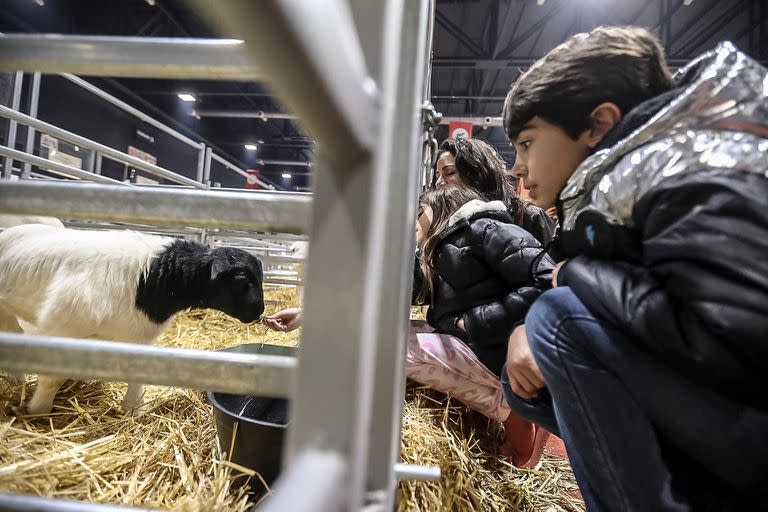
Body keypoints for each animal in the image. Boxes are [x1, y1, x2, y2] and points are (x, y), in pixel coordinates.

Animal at [0, 224, 264, 416]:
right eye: (241, 278)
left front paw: (134, 409)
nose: (259, 311)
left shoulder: (136, 335)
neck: (150, 279)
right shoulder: (62, 326)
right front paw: (39, 411)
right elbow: (51, 378)